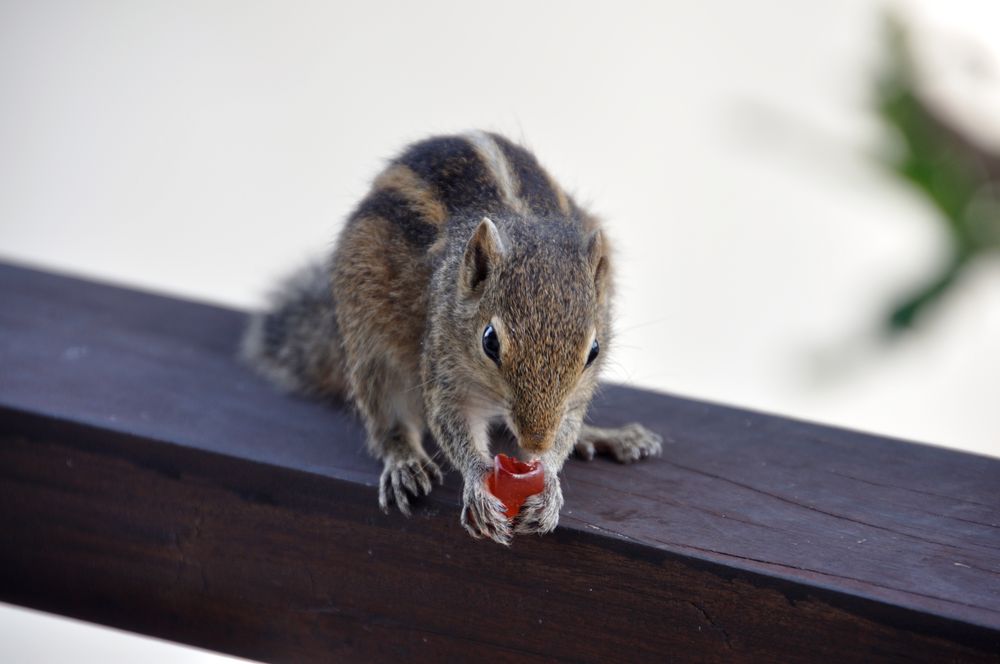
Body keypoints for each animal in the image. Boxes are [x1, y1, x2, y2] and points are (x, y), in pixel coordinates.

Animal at [242, 131, 664, 544]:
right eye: (489, 341)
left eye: (593, 351)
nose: (535, 442)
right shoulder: (443, 363)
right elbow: (452, 419)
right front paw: (478, 481)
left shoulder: (573, 398)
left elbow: (568, 424)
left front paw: (548, 483)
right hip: (370, 346)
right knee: (387, 417)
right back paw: (404, 462)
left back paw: (606, 437)